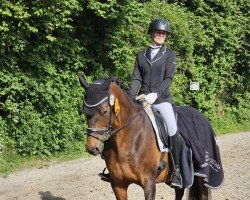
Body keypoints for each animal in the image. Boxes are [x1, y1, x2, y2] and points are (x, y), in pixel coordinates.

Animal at [78, 75, 213, 200]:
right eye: (84, 112)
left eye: (104, 111)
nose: (92, 147)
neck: (127, 141)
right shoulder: (118, 185)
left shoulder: (149, 184)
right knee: (179, 191)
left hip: (201, 175)